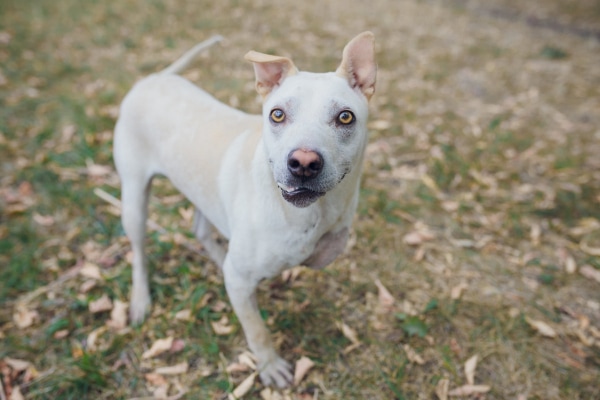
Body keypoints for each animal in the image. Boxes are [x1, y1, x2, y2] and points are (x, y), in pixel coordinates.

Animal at [113, 32, 376, 388]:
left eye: (345, 117)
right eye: (277, 115)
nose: (303, 163)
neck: (309, 213)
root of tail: (155, 77)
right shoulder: (240, 282)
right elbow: (257, 329)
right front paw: (270, 366)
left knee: (201, 230)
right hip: (134, 200)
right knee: (139, 252)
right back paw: (141, 300)